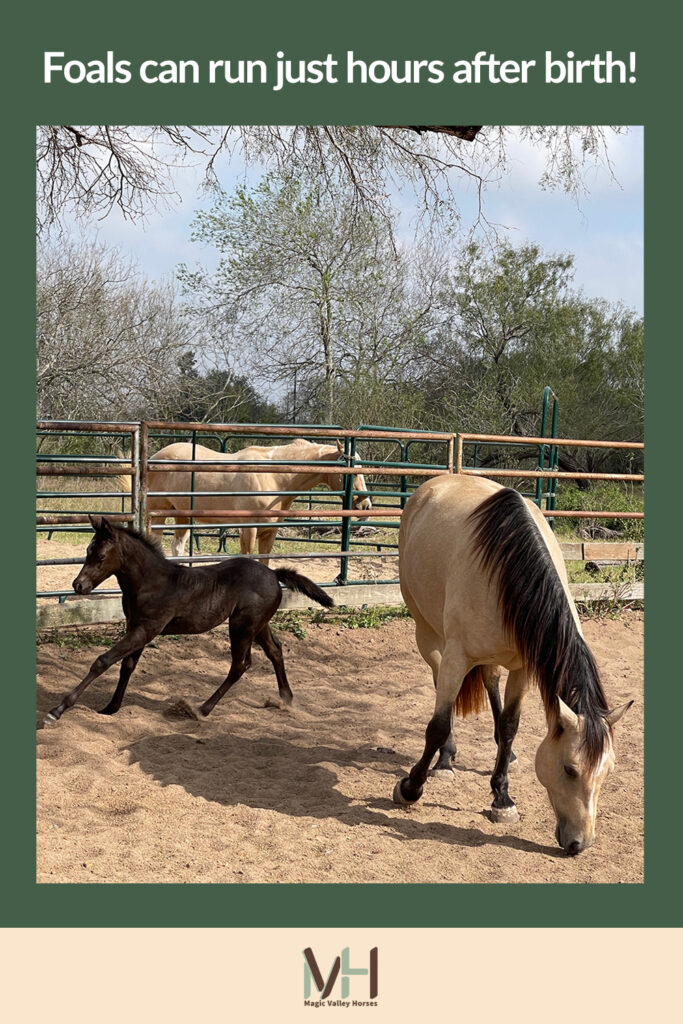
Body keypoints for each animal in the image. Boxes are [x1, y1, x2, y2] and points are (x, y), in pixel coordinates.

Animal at [42, 515, 333, 725]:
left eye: (101, 556)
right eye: (87, 550)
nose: (78, 585)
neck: (152, 582)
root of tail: (274, 574)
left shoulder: (147, 628)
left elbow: (104, 661)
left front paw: (57, 710)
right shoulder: (136, 627)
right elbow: (127, 665)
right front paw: (111, 708)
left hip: (242, 626)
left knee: (241, 664)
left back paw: (202, 709)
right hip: (257, 624)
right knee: (275, 650)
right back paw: (286, 699)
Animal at [133, 438, 371, 559]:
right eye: (353, 472)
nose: (366, 506)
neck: (274, 477)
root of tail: (154, 457)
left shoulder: (269, 532)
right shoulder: (249, 529)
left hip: (181, 514)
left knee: (177, 546)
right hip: (158, 513)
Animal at [396, 474, 633, 855]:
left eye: (607, 771)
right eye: (569, 769)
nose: (580, 843)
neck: (509, 570)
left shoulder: (523, 666)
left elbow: (510, 725)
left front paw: (502, 797)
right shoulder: (457, 655)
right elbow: (437, 724)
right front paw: (410, 788)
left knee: (491, 681)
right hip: (427, 632)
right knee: (438, 683)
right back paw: (445, 760)